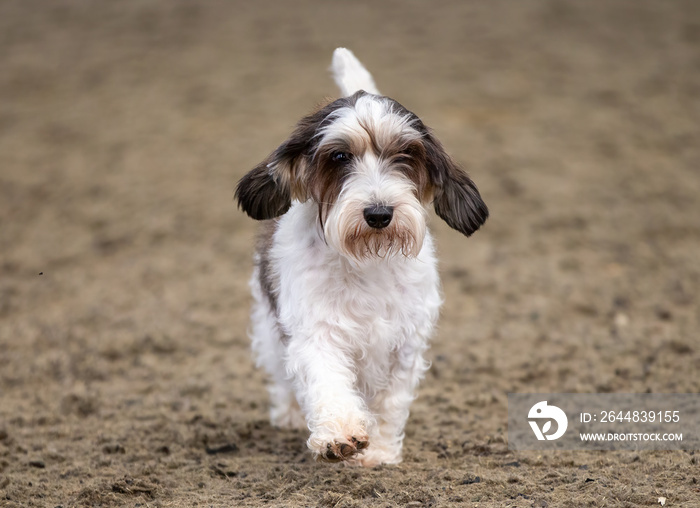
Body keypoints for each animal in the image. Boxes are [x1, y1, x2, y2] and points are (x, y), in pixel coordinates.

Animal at [235, 49, 486, 466]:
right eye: (339, 156)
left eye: (405, 154)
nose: (379, 213)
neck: (367, 262)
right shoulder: (317, 331)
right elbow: (327, 382)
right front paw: (340, 435)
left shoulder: (404, 343)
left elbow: (389, 403)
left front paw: (379, 453)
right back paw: (289, 415)